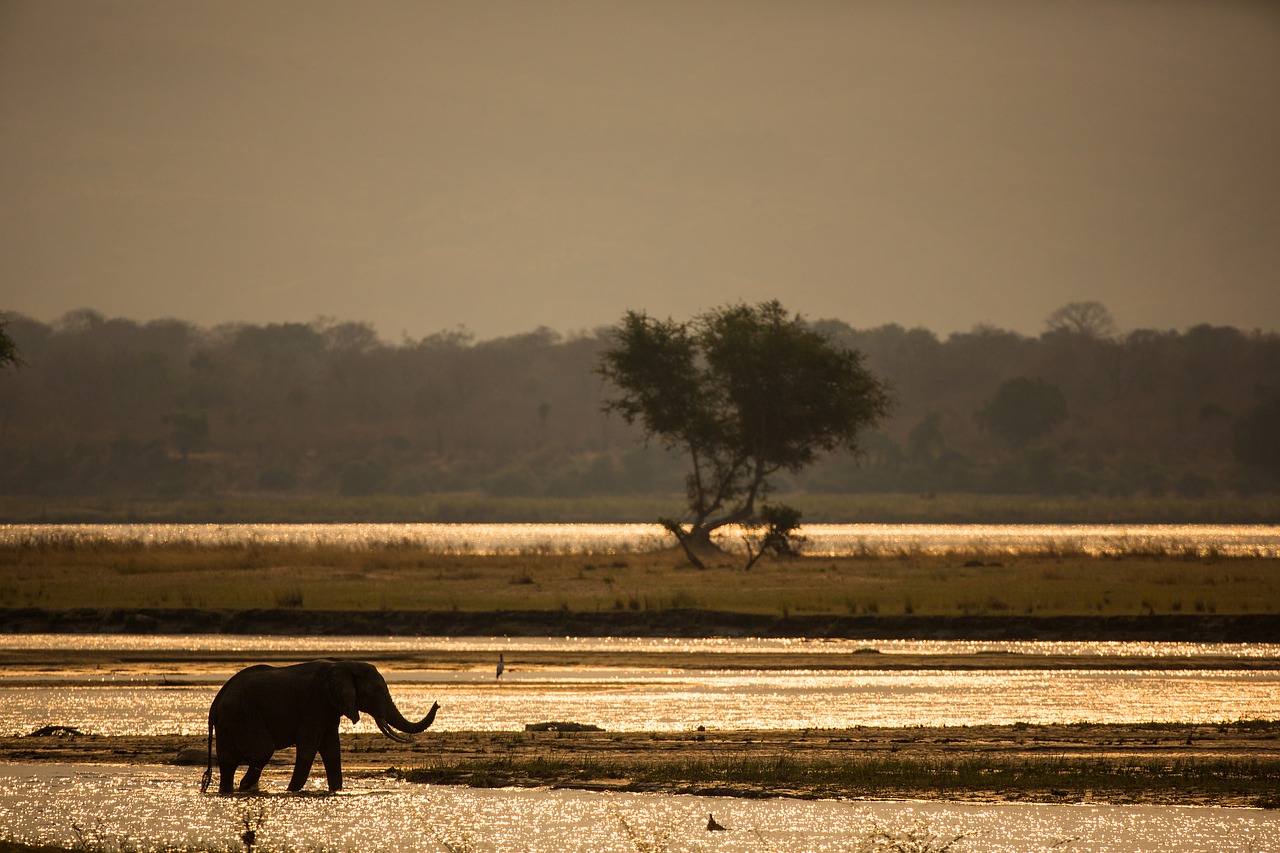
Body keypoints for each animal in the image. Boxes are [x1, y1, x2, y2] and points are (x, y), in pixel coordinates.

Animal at [200, 655, 440, 788]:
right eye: (376, 692)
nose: (438, 703)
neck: (345, 665)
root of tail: (214, 706)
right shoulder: (315, 703)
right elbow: (308, 746)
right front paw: (292, 792)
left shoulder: (329, 708)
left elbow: (332, 749)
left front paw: (336, 791)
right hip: (243, 717)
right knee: (263, 751)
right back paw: (244, 787)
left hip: (230, 723)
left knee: (228, 766)